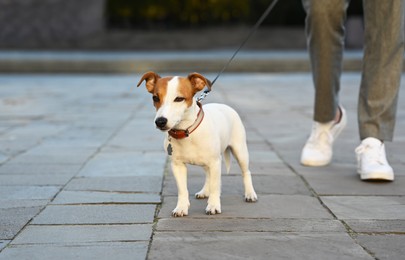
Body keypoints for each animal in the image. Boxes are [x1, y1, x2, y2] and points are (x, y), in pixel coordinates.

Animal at [136, 72, 256, 216]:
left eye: (179, 99)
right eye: (155, 98)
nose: (160, 121)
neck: (187, 132)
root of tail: (225, 105)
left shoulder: (215, 162)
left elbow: (215, 186)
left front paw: (213, 205)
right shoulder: (177, 165)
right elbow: (183, 190)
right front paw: (181, 207)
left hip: (240, 151)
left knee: (246, 172)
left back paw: (250, 194)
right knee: (208, 175)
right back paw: (204, 191)